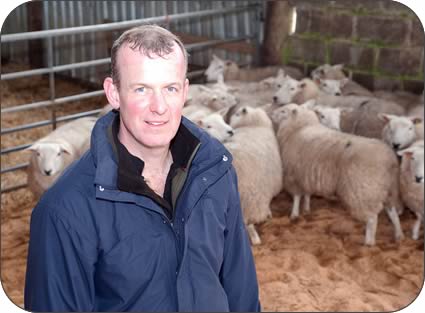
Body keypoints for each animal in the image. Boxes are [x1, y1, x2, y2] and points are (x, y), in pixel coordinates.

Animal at [274, 103, 402, 245]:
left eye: (283, 111)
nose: (272, 113)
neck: (299, 127)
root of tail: (389, 160)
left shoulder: (293, 175)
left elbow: (296, 197)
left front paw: (294, 214)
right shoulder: (305, 173)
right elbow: (307, 193)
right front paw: (306, 209)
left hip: (362, 191)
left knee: (372, 218)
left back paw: (368, 242)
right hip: (390, 189)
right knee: (392, 212)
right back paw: (398, 234)